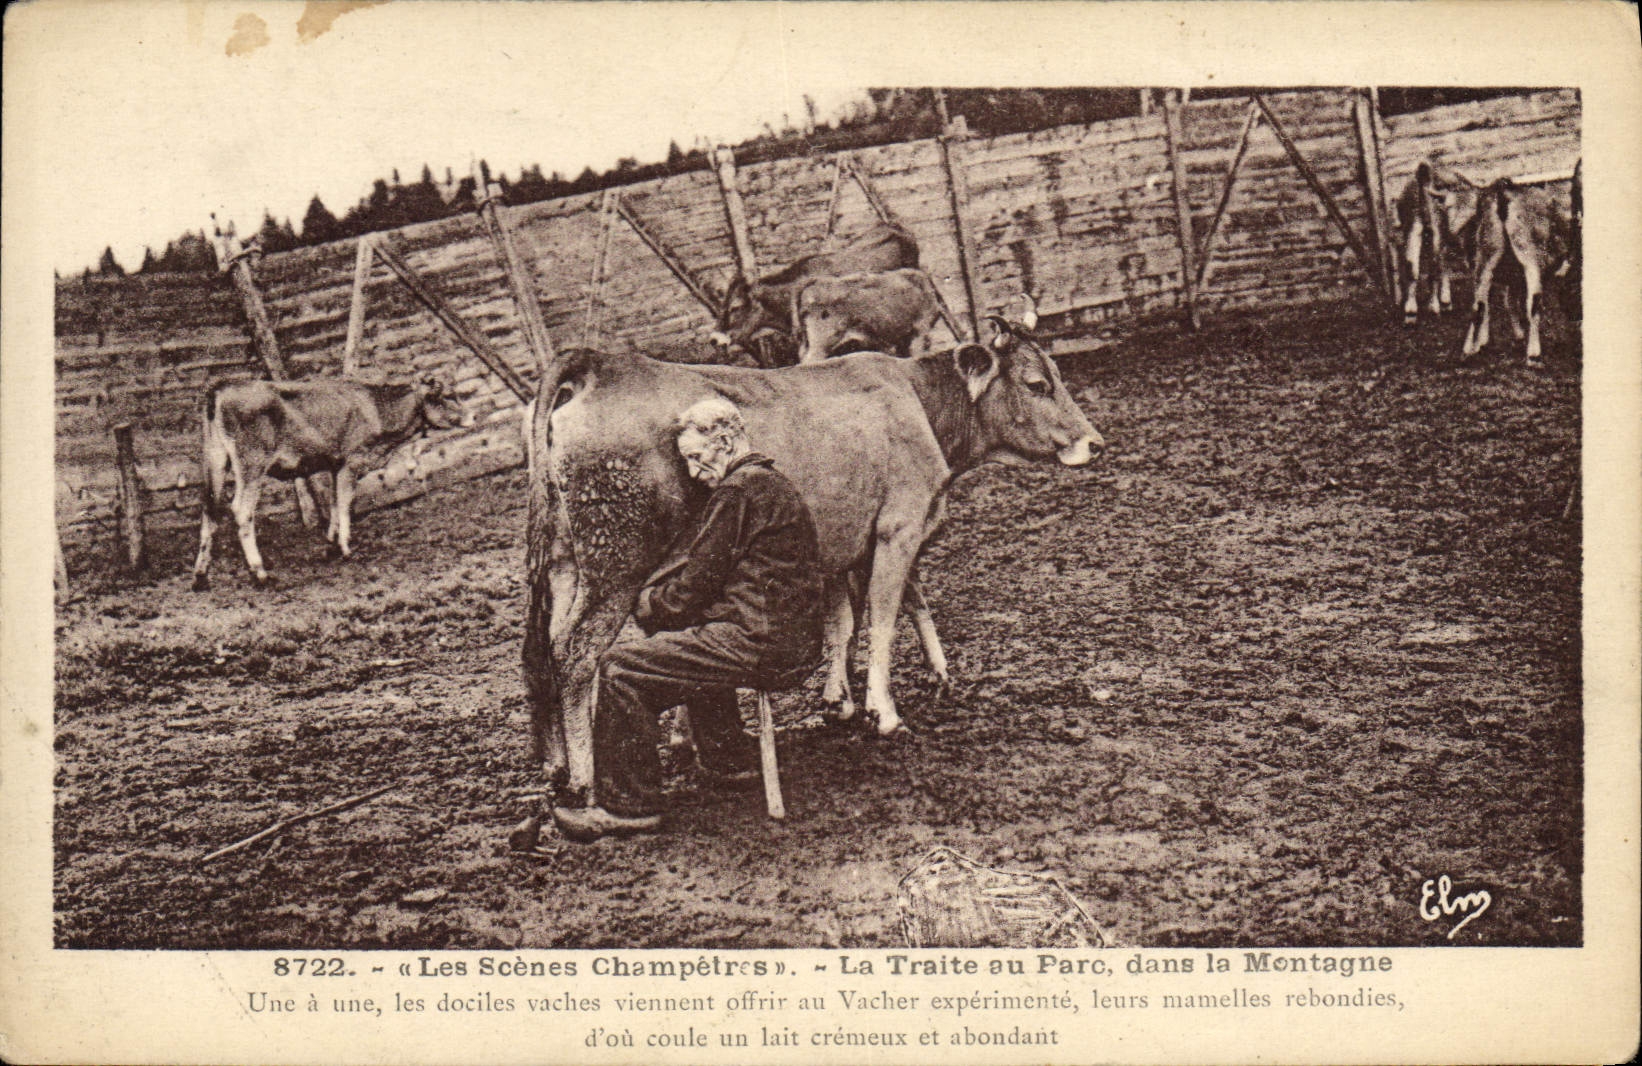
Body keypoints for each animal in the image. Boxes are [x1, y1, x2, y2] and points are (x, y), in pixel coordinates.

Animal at [192, 376, 469, 590]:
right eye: (448, 395)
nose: (472, 415)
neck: (377, 410)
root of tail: (222, 386)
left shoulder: (335, 465)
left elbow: (335, 502)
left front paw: (331, 544)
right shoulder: (351, 461)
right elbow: (345, 503)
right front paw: (345, 547)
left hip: (215, 458)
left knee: (209, 508)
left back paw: (200, 577)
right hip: (252, 464)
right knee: (241, 510)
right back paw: (260, 572)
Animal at [521, 319, 1101, 816]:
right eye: (1037, 383)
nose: (1095, 442)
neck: (919, 401)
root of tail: (605, 363)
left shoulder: (846, 544)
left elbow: (855, 618)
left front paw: (849, 697)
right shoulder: (898, 527)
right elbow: (883, 618)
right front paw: (883, 712)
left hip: (566, 561)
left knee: (544, 651)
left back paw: (563, 767)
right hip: (616, 562)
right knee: (575, 655)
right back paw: (585, 781)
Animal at [1460, 163, 1580, 365]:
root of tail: (1503, 189)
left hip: (1486, 254)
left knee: (1478, 304)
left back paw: (1469, 349)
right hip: (1531, 254)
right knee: (1533, 302)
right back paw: (1533, 354)